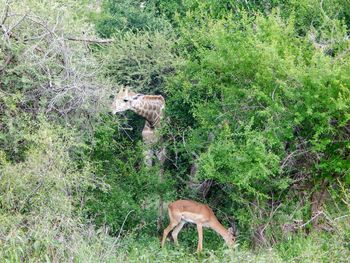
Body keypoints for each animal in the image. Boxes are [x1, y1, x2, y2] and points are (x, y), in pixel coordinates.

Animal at [111, 87, 166, 231]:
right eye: (115, 97)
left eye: (125, 99)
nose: (111, 110)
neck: (152, 119)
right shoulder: (146, 149)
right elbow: (145, 180)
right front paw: (141, 222)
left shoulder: (161, 152)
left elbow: (160, 185)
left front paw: (159, 224)